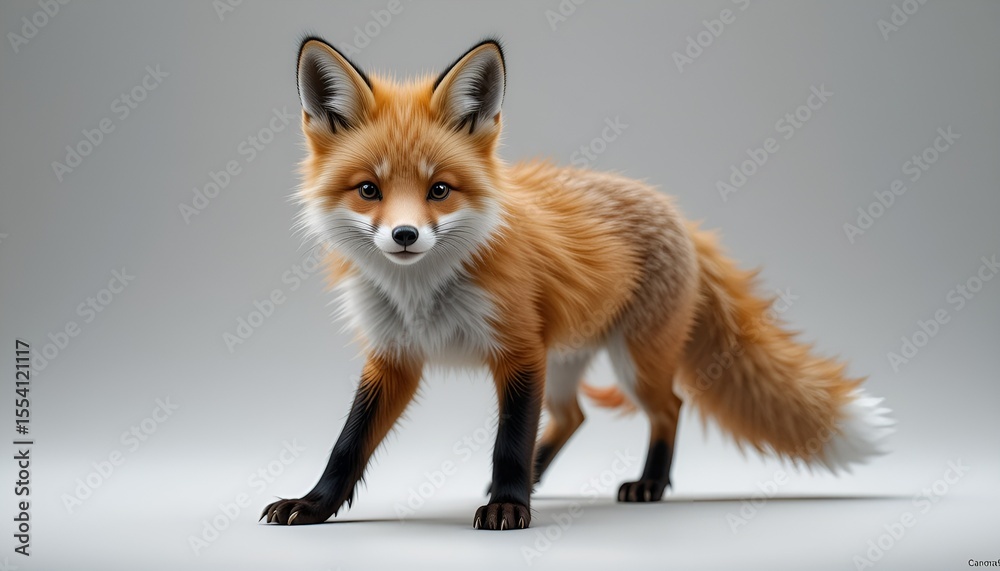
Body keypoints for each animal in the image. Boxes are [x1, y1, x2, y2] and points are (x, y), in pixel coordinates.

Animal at [261, 37, 895, 530]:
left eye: (439, 189)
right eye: (369, 190)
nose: (405, 235)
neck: (423, 294)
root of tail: (676, 214)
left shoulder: (519, 350)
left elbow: (510, 441)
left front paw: (509, 506)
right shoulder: (394, 357)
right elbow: (348, 443)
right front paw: (313, 505)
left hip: (633, 360)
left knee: (669, 406)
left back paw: (646, 484)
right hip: (565, 358)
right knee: (574, 416)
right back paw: (538, 478)